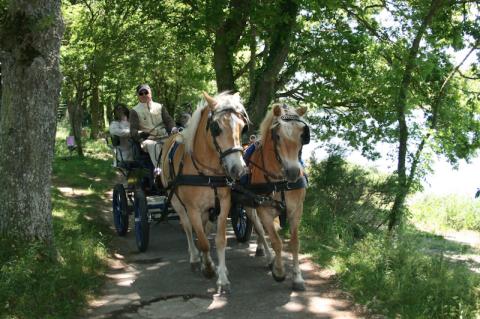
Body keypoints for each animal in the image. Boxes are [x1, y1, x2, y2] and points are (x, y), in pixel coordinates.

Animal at [160, 92, 249, 292]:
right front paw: (208, 268)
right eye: (216, 128)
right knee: (187, 227)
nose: (238, 169)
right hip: (177, 202)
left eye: (242, 127)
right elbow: (202, 241)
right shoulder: (192, 208)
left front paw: (222, 276)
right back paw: (195, 258)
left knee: (205, 228)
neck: (207, 173)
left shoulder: (223, 204)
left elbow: (220, 240)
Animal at [242, 103, 310, 292]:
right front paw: (279, 271)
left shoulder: (296, 210)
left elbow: (294, 242)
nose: (293, 172)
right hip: (249, 205)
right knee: (258, 227)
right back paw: (269, 258)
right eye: (277, 135)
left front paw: (298, 278)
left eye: (303, 135)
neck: (280, 181)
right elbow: (276, 241)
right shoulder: (264, 210)